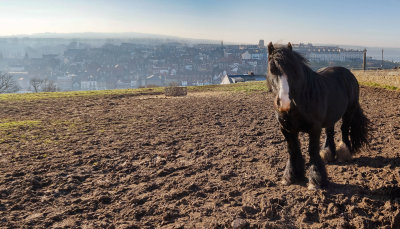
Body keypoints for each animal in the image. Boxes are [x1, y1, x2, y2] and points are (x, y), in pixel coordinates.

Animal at [266, 41, 368, 190]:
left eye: (294, 71)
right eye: (272, 69)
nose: (284, 102)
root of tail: (348, 73)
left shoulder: (314, 129)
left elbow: (312, 151)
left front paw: (315, 180)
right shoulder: (286, 129)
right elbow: (293, 150)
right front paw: (291, 176)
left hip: (349, 111)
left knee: (344, 129)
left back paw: (344, 152)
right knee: (329, 132)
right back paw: (328, 153)